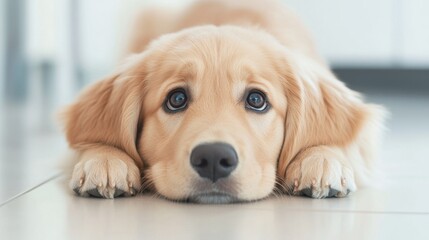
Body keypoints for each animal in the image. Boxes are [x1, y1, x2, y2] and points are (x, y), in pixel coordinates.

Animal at [62, 0, 384, 203]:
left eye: (256, 99)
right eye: (176, 99)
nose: (214, 159)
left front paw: (321, 160)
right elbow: (100, 135)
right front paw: (105, 159)